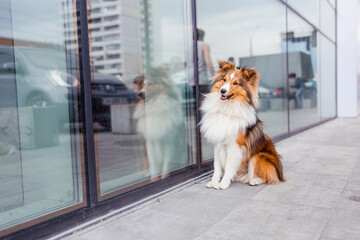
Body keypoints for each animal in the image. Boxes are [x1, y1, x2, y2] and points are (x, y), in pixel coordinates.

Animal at [200, 61, 284, 189]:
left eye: (236, 83)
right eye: (224, 80)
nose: (222, 91)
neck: (227, 108)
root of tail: (281, 174)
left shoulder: (235, 146)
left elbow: (229, 166)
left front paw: (223, 183)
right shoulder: (218, 143)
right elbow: (217, 165)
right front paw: (214, 182)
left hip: (258, 156)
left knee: (270, 177)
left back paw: (255, 180)